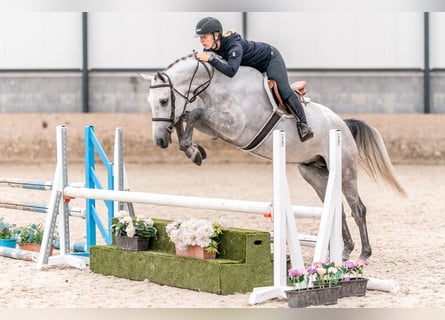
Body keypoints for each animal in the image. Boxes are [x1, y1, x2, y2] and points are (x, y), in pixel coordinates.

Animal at [140, 52, 406, 262]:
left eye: (164, 100)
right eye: (150, 102)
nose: (160, 141)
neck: (219, 83)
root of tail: (343, 125)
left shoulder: (235, 129)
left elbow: (194, 113)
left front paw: (193, 150)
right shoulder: (218, 127)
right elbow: (187, 116)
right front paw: (194, 150)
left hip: (345, 169)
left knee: (357, 209)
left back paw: (364, 254)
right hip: (314, 173)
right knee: (337, 209)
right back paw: (344, 252)